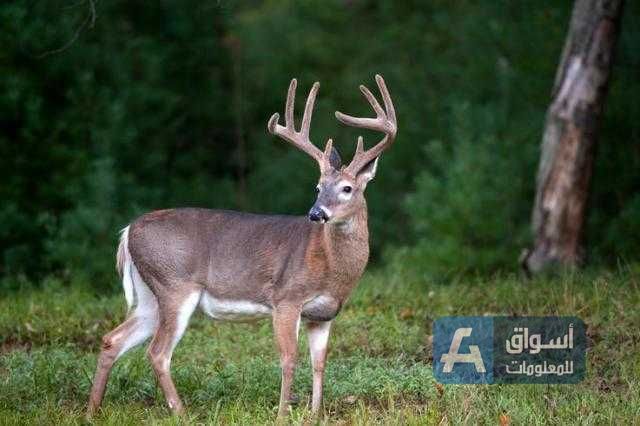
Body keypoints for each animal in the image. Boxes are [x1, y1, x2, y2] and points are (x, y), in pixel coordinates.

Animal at [85, 74, 396, 420]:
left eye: (347, 188)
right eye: (317, 187)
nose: (316, 213)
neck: (332, 268)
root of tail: (128, 231)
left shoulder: (324, 314)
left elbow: (319, 363)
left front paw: (315, 415)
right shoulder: (286, 298)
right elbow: (289, 360)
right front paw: (282, 415)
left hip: (150, 296)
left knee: (113, 339)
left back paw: (91, 411)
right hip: (174, 285)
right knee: (157, 352)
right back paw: (182, 413)